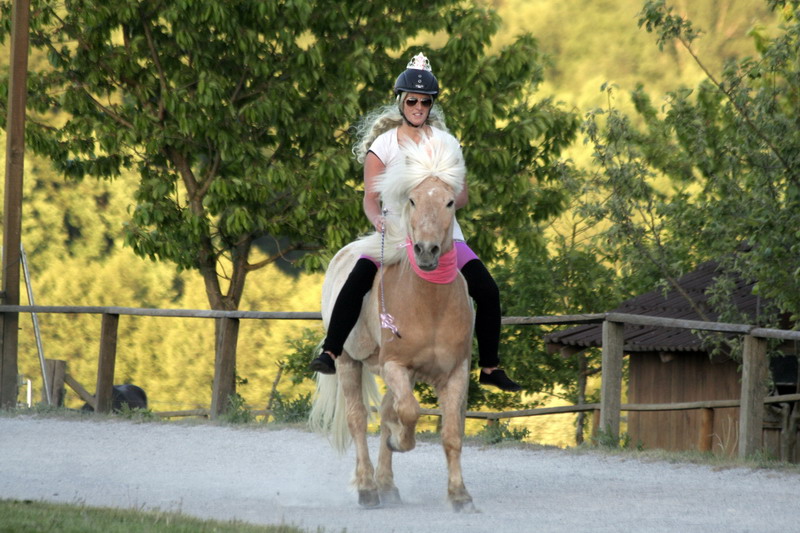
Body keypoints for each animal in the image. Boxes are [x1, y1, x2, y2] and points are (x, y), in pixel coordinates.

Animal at [309, 133, 476, 512]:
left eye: (449, 202)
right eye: (412, 200)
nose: (426, 251)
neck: (429, 307)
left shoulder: (455, 371)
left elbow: (450, 434)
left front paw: (460, 495)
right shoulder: (395, 366)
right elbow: (409, 412)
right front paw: (402, 442)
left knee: (386, 412)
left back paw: (386, 485)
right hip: (348, 362)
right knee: (358, 420)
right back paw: (368, 489)